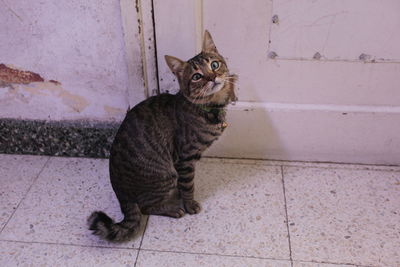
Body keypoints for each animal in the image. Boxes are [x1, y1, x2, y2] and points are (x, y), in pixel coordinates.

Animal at [87, 30, 236, 243]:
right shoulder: (184, 158)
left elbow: (185, 185)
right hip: (165, 173)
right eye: (197, 76)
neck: (210, 108)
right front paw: (189, 204)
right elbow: (188, 185)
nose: (213, 77)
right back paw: (172, 209)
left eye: (214, 65)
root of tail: (121, 195)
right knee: (145, 207)